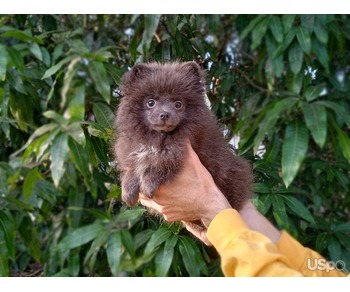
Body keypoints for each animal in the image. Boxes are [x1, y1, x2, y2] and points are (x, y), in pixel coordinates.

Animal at [115, 61, 254, 211]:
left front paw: (149, 182)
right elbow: (132, 167)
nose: (164, 114)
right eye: (150, 102)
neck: (159, 137)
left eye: (178, 104)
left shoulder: (179, 149)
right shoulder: (133, 148)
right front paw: (128, 188)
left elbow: (163, 163)